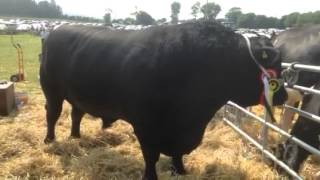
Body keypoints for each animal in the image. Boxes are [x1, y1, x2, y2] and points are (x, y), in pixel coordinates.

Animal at [40, 20, 288, 179]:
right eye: (274, 66)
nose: (283, 95)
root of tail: (57, 29)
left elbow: (177, 153)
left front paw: (180, 170)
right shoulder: (146, 124)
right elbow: (151, 155)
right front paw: (151, 176)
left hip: (77, 95)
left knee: (76, 114)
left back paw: (75, 136)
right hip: (52, 90)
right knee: (52, 115)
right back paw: (50, 140)